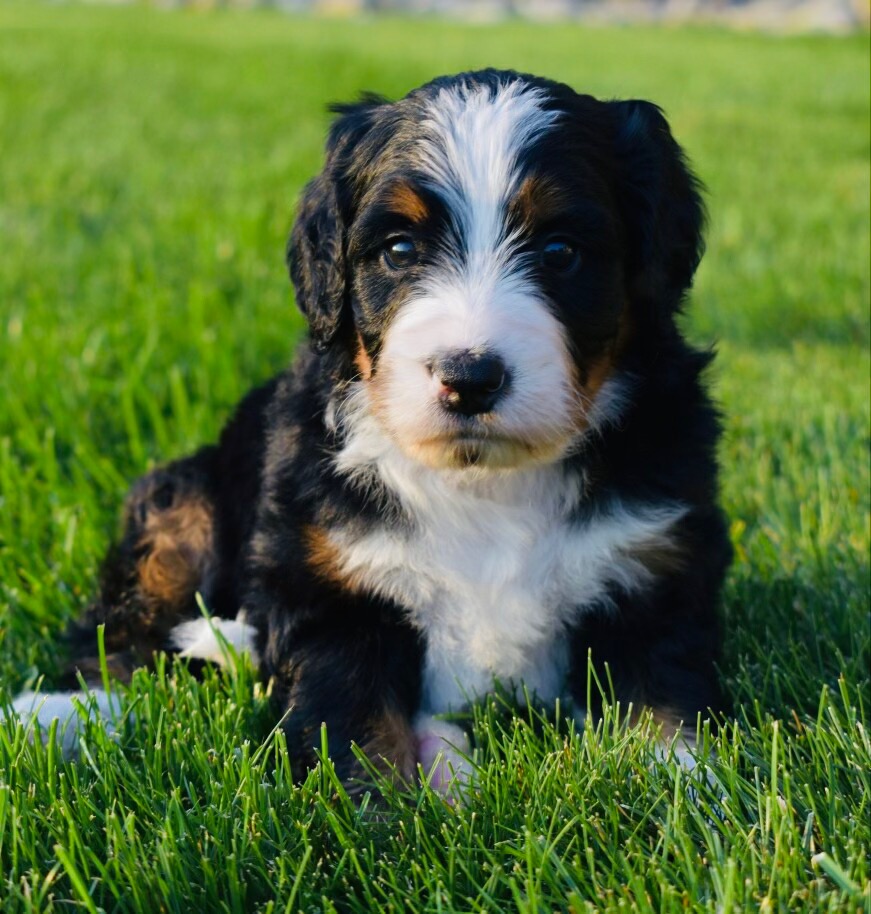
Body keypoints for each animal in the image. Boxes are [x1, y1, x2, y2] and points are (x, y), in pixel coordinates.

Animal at [10, 69, 732, 792]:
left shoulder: (653, 569)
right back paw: (60, 712)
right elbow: (354, 733)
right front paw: (373, 811)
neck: (482, 482)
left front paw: (684, 793)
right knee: (126, 620)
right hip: (184, 505)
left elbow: (662, 708)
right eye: (399, 249)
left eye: (561, 252)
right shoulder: (333, 586)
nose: (470, 377)